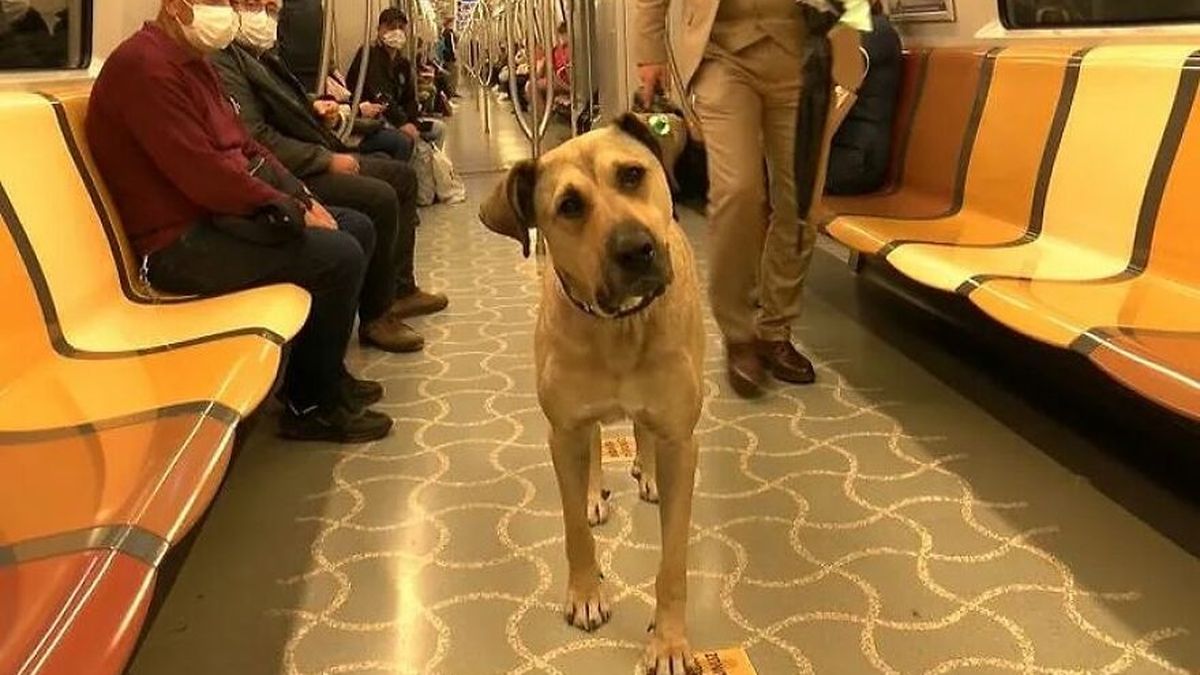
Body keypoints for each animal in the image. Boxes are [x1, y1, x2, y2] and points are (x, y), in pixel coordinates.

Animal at [477, 112, 700, 667]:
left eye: (632, 174)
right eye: (570, 206)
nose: (635, 249)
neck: (620, 328)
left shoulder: (682, 440)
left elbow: (673, 560)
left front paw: (669, 640)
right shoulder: (563, 432)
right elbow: (574, 526)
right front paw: (584, 592)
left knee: (643, 433)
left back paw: (648, 473)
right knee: (597, 443)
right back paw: (597, 490)